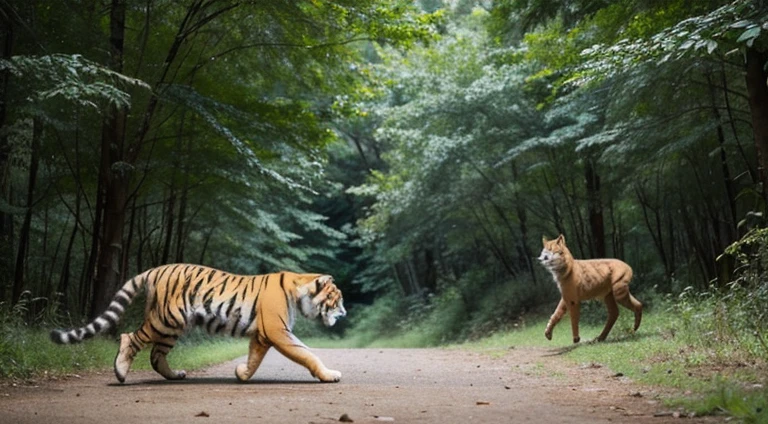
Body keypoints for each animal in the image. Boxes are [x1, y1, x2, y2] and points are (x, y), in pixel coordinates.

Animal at [50, 264, 344, 382]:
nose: (343, 313)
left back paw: (174, 376)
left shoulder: (262, 335)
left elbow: (254, 358)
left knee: (156, 355)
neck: (299, 292)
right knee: (129, 337)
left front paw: (242, 374)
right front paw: (330, 375)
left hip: (172, 327)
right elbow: (307, 354)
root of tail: (154, 270)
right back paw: (121, 371)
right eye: (336, 298)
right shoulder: (278, 331)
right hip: (165, 319)